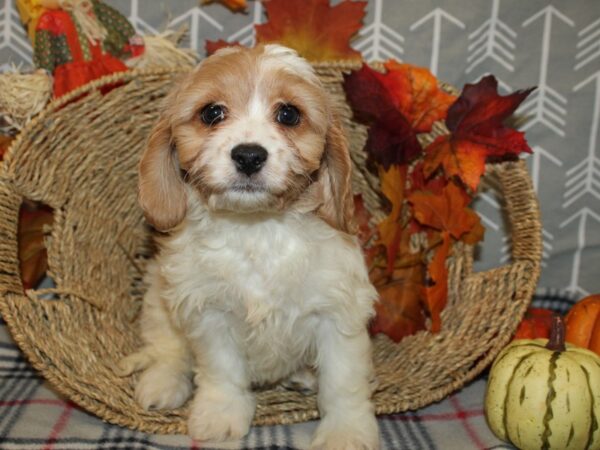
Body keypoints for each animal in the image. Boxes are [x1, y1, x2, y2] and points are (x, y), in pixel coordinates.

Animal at [119, 43, 378, 450]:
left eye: (289, 114)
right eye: (212, 113)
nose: (249, 155)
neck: (257, 228)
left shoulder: (339, 312)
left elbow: (343, 381)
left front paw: (346, 432)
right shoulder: (208, 312)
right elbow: (221, 371)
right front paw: (220, 414)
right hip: (158, 296)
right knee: (167, 348)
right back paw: (163, 383)